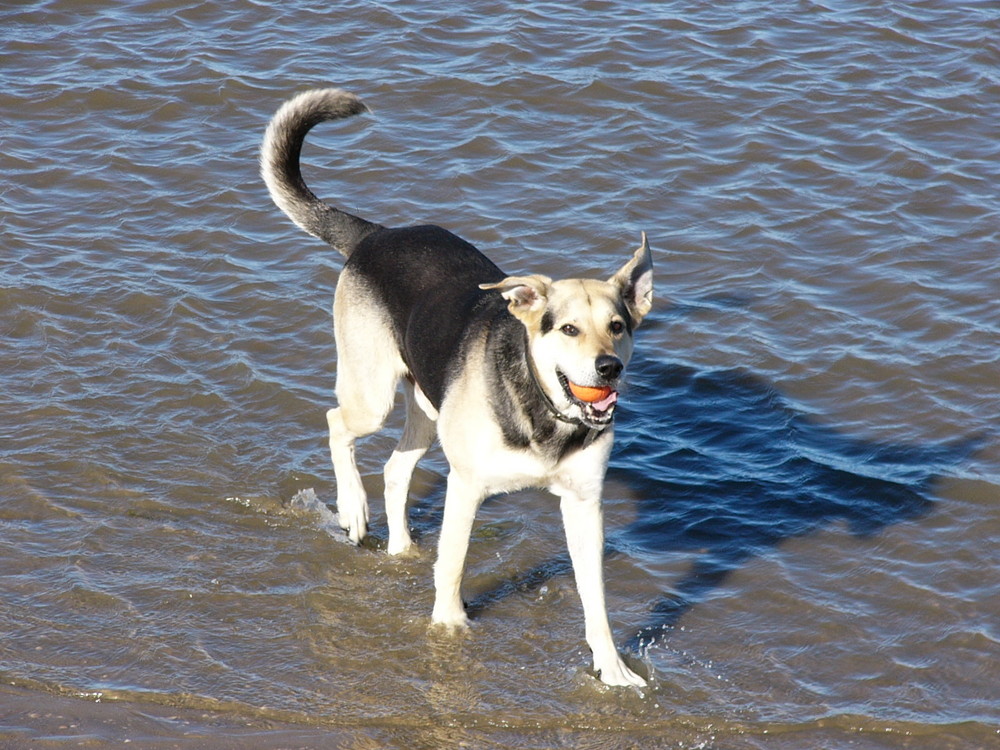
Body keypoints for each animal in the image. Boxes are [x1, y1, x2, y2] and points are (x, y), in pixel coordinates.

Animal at [258, 88, 652, 688]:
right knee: (337, 426)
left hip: (427, 409)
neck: (544, 410)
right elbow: (455, 562)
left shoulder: (584, 505)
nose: (608, 368)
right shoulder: (466, 487)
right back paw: (352, 508)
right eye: (567, 329)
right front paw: (448, 628)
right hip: (373, 395)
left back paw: (399, 548)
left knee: (395, 469)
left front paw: (612, 670)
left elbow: (597, 599)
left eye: (618, 326)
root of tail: (376, 236)